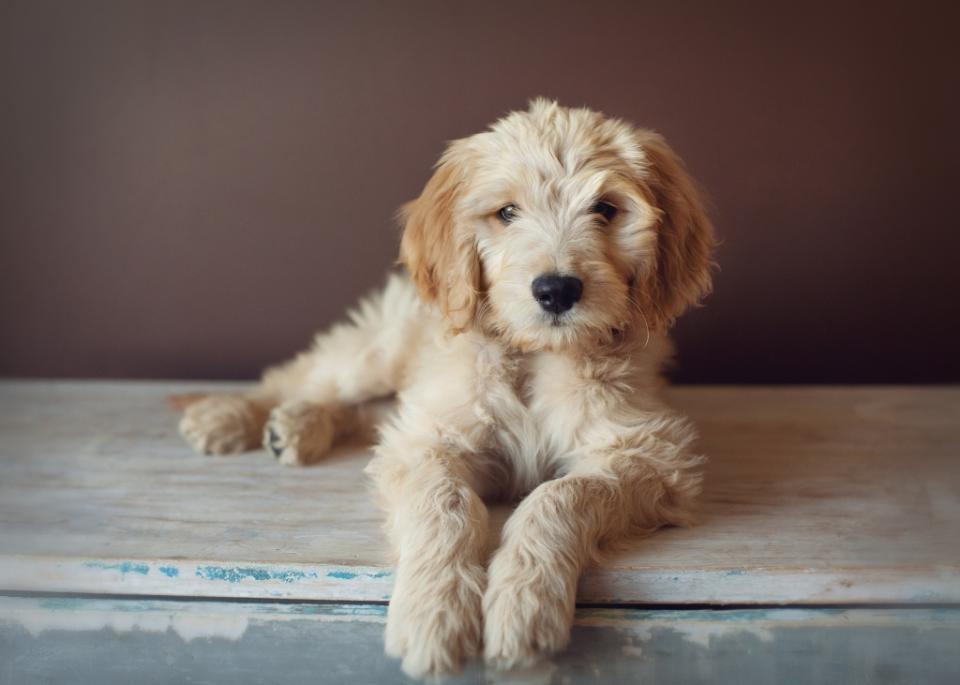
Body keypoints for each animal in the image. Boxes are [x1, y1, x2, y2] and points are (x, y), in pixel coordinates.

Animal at [178, 100, 712, 680]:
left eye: (606, 209)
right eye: (506, 213)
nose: (555, 290)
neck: (532, 359)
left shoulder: (649, 456)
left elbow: (560, 494)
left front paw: (524, 603)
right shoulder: (426, 440)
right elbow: (446, 503)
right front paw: (435, 612)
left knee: (359, 412)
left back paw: (296, 428)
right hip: (377, 350)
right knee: (303, 378)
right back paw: (230, 417)